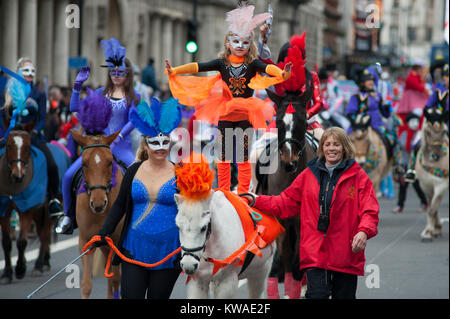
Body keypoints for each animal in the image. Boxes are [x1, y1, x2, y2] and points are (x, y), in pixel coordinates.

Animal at [0, 130, 53, 284]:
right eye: (8, 145)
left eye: (28, 147)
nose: (18, 176)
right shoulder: (4, 210)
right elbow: (6, 242)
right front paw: (7, 273)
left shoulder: (27, 210)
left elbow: (22, 241)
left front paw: (20, 269)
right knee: (41, 233)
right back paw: (44, 262)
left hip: (46, 210)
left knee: (45, 234)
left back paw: (39, 266)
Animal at [72, 130, 125, 300]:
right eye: (84, 163)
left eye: (109, 162)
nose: (98, 203)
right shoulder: (86, 241)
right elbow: (86, 285)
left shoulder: (117, 243)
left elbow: (116, 278)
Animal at [253, 90, 316, 300]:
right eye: (279, 121)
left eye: (303, 120)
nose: (289, 161)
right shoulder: (280, 219)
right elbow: (280, 258)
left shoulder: (302, 220)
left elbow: (299, 258)